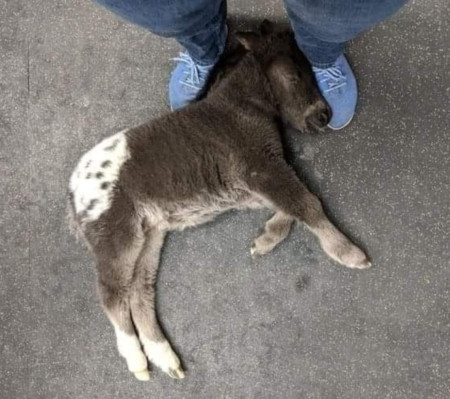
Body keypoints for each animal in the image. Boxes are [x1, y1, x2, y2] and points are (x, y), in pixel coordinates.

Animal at [67, 21, 370, 382]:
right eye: (295, 74)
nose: (323, 116)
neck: (241, 105)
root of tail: (73, 192)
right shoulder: (257, 167)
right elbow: (306, 203)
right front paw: (349, 253)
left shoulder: (248, 185)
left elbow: (294, 205)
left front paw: (264, 240)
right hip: (117, 235)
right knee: (113, 296)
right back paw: (137, 360)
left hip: (149, 235)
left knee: (140, 292)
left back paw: (163, 357)